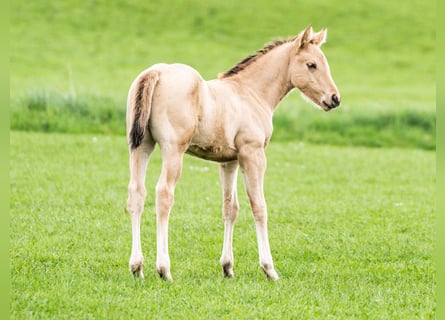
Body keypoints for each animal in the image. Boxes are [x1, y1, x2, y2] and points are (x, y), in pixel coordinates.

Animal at [125, 25, 340, 280]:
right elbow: (259, 206)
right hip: (173, 150)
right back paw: (164, 269)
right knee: (164, 194)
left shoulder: (229, 161)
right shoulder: (253, 155)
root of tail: (155, 72)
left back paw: (137, 267)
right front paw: (269, 269)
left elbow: (230, 208)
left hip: (141, 146)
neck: (250, 92)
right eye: (311, 64)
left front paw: (227, 267)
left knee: (137, 194)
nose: (335, 98)